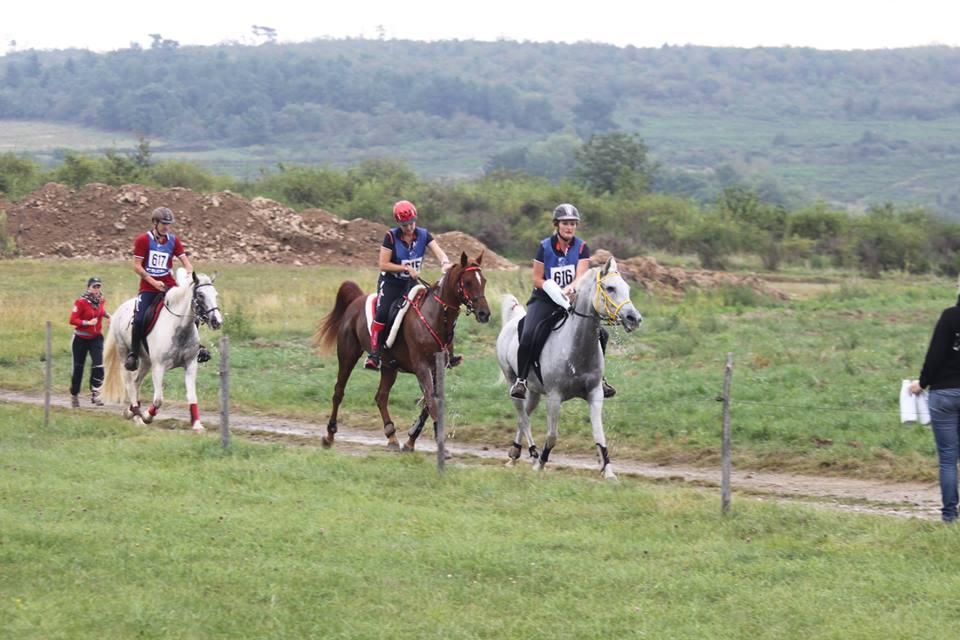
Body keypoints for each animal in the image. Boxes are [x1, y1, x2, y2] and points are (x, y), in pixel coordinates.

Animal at [101, 271, 224, 432]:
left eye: (215, 294)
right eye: (200, 295)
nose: (217, 322)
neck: (179, 327)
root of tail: (120, 309)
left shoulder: (191, 364)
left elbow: (192, 396)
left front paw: (197, 424)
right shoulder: (159, 367)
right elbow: (158, 399)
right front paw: (147, 416)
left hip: (146, 361)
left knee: (136, 382)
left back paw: (132, 411)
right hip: (124, 355)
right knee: (129, 383)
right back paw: (137, 417)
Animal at [314, 252, 491, 450]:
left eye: (483, 280)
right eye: (467, 282)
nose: (484, 314)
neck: (435, 317)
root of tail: (357, 300)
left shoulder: (437, 370)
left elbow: (430, 403)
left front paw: (411, 439)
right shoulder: (421, 367)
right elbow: (431, 401)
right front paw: (438, 445)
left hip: (389, 367)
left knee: (381, 397)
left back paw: (391, 435)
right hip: (348, 354)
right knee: (339, 391)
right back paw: (330, 434)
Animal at [496, 256, 642, 479]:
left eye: (627, 288)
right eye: (610, 288)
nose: (634, 319)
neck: (576, 348)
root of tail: (513, 321)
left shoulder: (595, 394)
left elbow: (599, 435)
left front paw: (607, 470)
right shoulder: (555, 397)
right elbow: (552, 436)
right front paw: (541, 464)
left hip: (535, 391)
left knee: (525, 415)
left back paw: (515, 453)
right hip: (513, 383)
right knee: (523, 418)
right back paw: (532, 454)